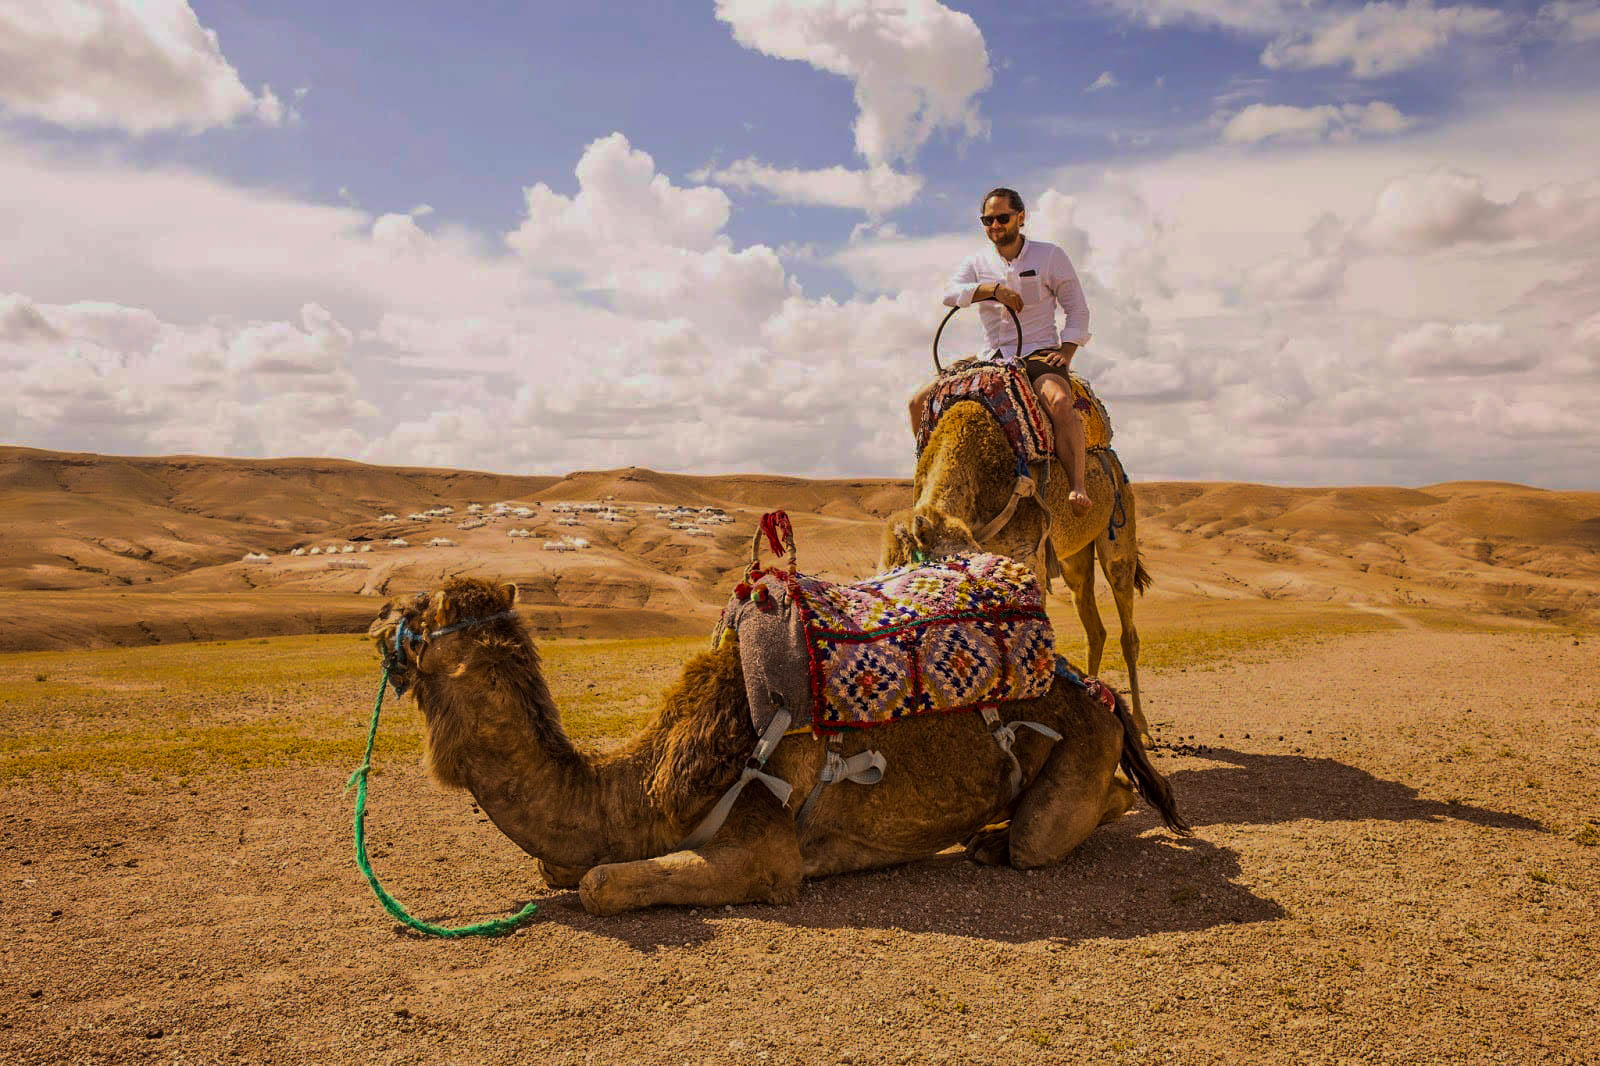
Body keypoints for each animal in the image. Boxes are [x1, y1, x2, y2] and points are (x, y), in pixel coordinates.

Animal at [368, 576, 1184, 909]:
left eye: (421, 610)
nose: (376, 617)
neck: (641, 787)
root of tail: (1093, 690)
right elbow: (560, 864)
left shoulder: (765, 851)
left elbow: (600, 884)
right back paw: (987, 834)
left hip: (1078, 749)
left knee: (1047, 833)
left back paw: (997, 840)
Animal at [889, 398, 1152, 739]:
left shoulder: (1030, 552)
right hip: (1075, 558)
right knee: (1094, 627)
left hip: (1119, 527)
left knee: (1126, 625)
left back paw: (1141, 726)